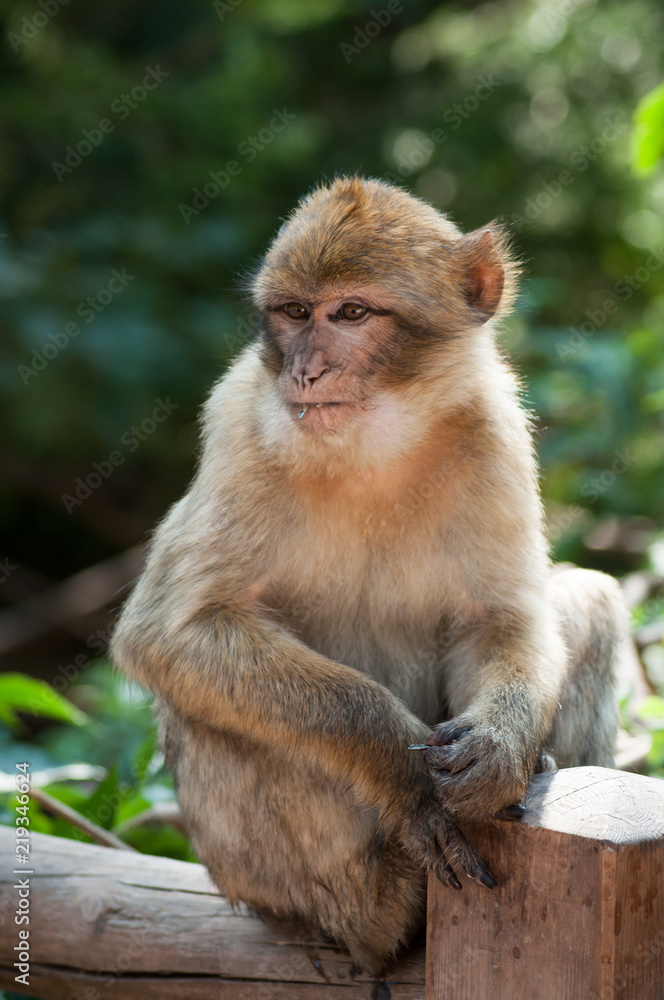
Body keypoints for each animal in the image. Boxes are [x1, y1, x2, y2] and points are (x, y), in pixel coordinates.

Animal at [109, 176, 628, 972]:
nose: (304, 370)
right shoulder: (237, 421)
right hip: (266, 883)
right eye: (295, 313)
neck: (375, 444)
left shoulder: (494, 427)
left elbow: (502, 619)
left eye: (351, 313)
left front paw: (501, 752)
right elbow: (171, 633)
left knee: (591, 599)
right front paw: (408, 777)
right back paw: (376, 910)